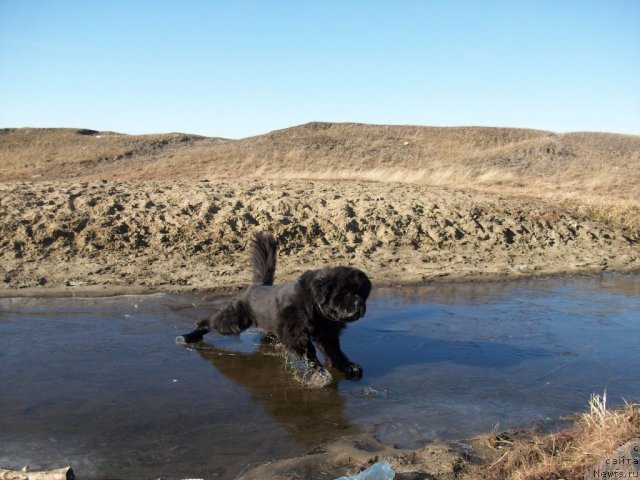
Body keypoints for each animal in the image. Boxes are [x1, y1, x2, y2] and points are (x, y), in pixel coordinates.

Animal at [178, 231, 372, 380]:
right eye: (346, 293)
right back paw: (189, 336)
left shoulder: (327, 333)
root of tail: (258, 286)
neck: (317, 308)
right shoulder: (293, 330)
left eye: (362, 294)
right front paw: (318, 372)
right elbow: (307, 351)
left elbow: (336, 352)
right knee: (211, 322)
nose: (359, 302)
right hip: (235, 320)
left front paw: (348, 367)